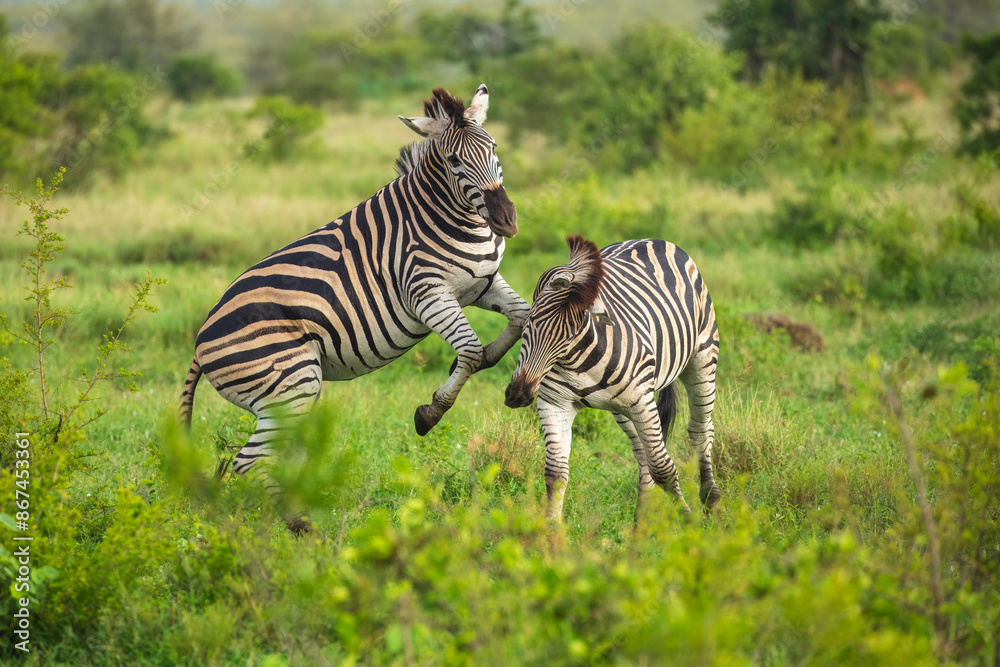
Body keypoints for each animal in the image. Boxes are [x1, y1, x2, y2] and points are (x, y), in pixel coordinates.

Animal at [180, 85, 529, 532]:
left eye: (494, 147)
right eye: (453, 161)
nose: (506, 221)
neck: (452, 218)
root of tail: (200, 341)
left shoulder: (481, 283)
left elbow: (518, 319)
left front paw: (492, 364)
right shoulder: (426, 293)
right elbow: (468, 351)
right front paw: (430, 413)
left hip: (287, 397)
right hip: (290, 382)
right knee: (248, 462)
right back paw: (281, 531)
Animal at [504, 235, 720, 522]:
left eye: (569, 337)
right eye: (528, 323)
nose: (518, 394)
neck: (578, 360)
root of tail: (649, 238)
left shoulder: (642, 401)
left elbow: (663, 468)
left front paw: (687, 518)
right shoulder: (554, 404)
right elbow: (555, 474)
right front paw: (551, 530)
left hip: (702, 360)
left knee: (700, 431)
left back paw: (711, 500)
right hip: (622, 408)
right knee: (642, 453)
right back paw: (641, 522)